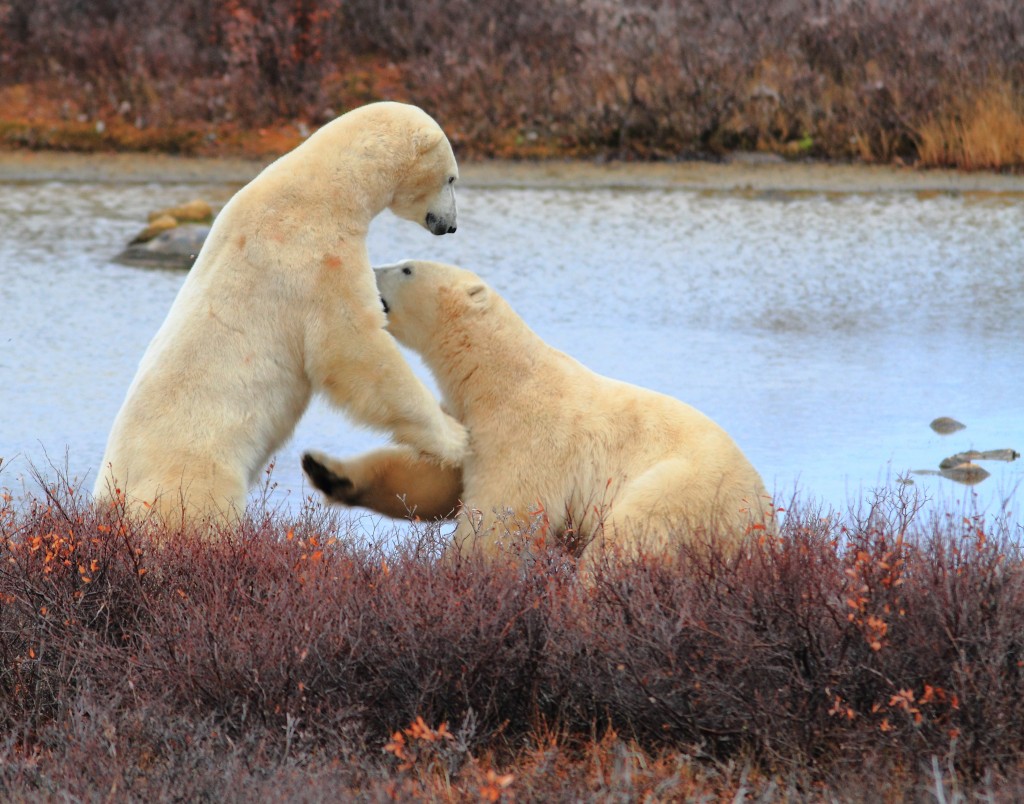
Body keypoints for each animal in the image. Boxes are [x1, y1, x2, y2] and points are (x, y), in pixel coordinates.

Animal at [94, 102, 468, 528]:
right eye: (451, 178)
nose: (450, 225)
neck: (322, 190)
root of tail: (114, 498)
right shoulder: (314, 257)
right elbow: (353, 351)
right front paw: (456, 438)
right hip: (195, 467)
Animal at [302, 260, 776, 566]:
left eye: (406, 269)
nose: (368, 270)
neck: (500, 378)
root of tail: (763, 520)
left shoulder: (530, 435)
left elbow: (499, 520)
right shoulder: (472, 426)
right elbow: (432, 482)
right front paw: (326, 470)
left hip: (687, 492)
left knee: (626, 542)